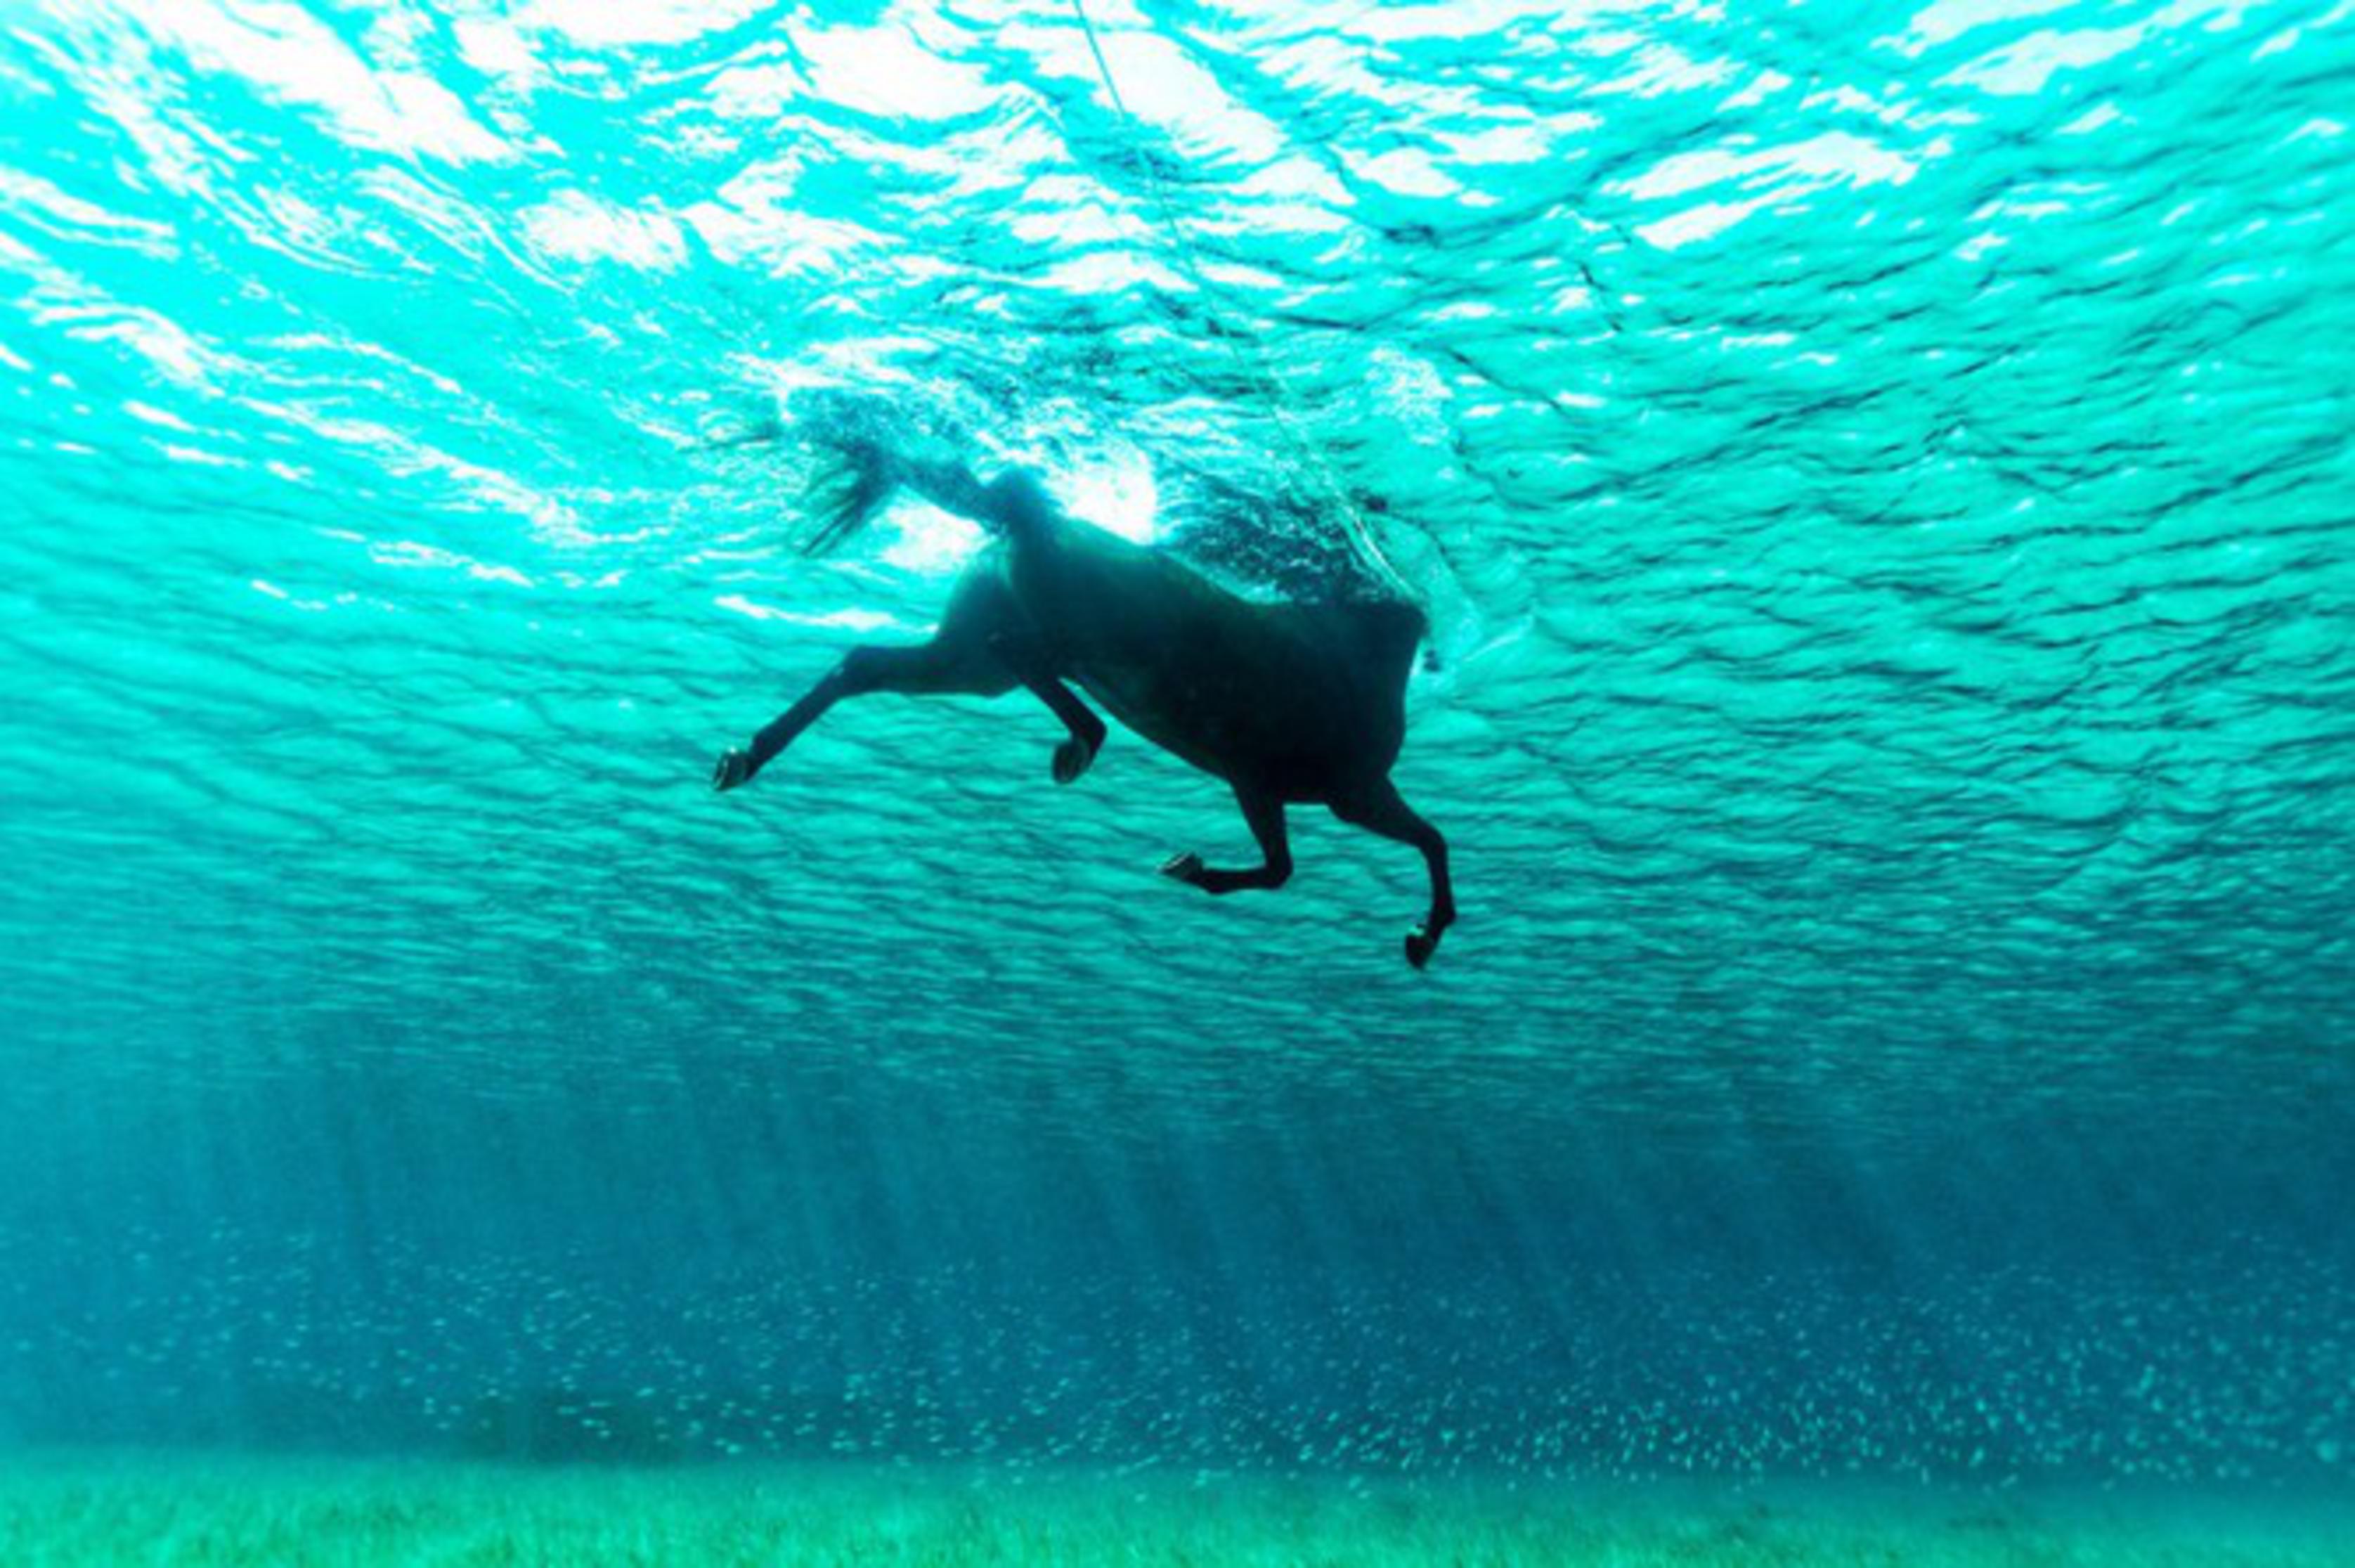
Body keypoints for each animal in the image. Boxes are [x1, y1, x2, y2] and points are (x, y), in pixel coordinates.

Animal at [706, 433, 1460, 960]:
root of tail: (1028, 523)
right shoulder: (1307, 785)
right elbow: (1306, 863)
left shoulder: (1320, 791)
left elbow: (1390, 845)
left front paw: (1421, 936)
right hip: (1066, 642)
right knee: (1022, 656)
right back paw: (1080, 743)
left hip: (968, 662)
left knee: (867, 664)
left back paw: (742, 758)